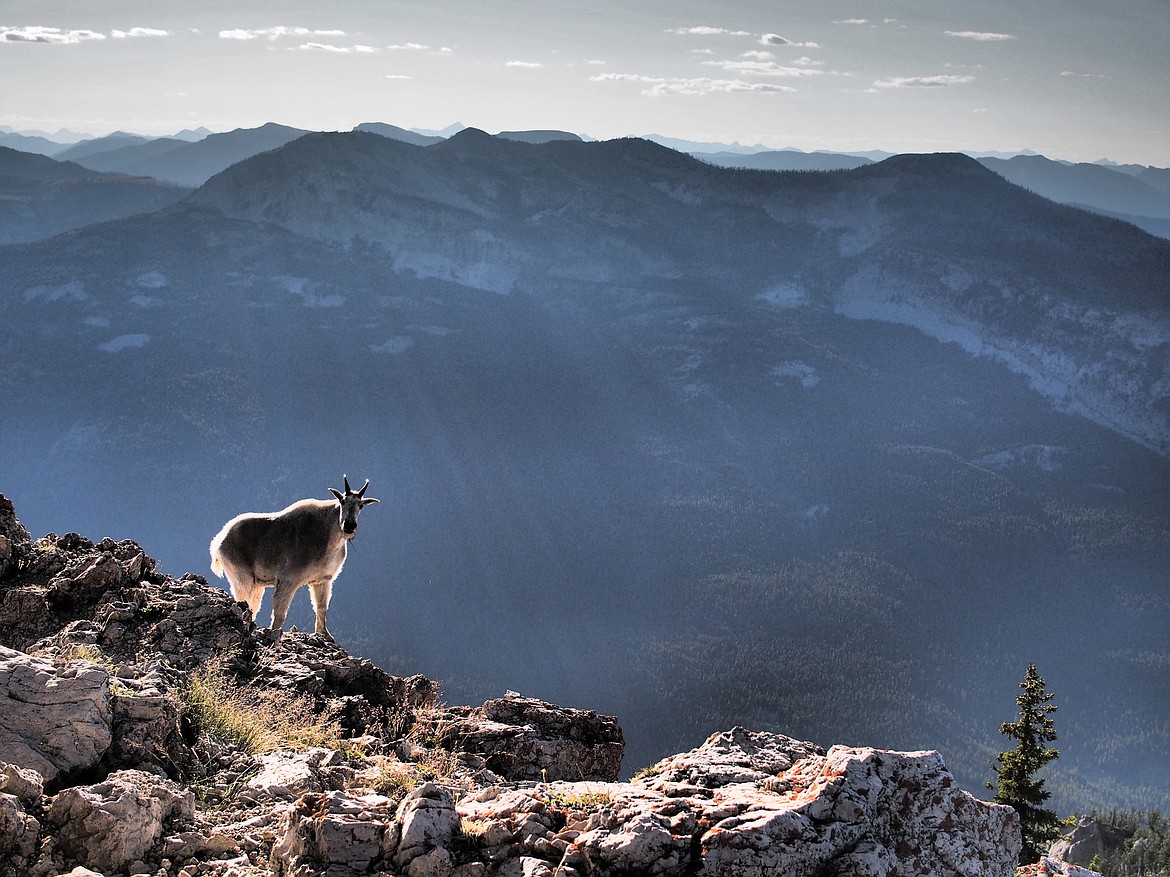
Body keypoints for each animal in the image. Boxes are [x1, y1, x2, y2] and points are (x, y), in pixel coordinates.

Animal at [208, 474, 376, 640]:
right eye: (342, 501)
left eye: (361, 505)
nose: (349, 526)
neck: (329, 534)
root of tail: (219, 540)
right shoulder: (288, 580)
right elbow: (280, 612)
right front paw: (273, 634)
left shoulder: (322, 580)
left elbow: (321, 608)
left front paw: (325, 635)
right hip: (243, 578)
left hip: (256, 585)